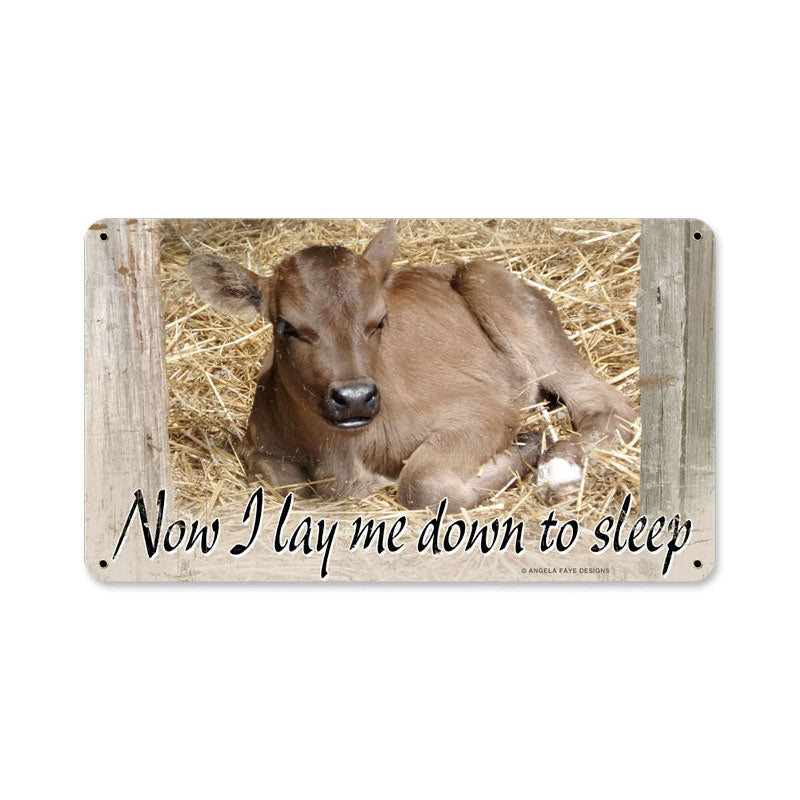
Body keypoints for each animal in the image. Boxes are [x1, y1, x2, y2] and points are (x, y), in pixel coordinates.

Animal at [187, 222, 637, 510]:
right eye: (286, 327)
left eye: (380, 320)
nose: (355, 398)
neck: (343, 458)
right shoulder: (257, 448)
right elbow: (284, 490)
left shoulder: (480, 409)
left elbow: (423, 486)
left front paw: (521, 450)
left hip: (499, 294)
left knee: (609, 407)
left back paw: (559, 471)